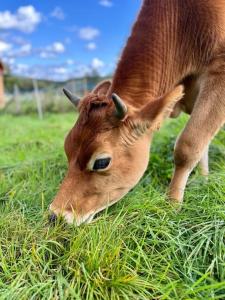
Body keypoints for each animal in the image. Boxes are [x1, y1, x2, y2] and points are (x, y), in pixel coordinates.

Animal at [50, 0, 225, 225]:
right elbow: (202, 144)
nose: (55, 216)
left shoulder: (219, 74)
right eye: (66, 147)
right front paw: (204, 179)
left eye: (101, 162)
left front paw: (172, 206)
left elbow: (188, 146)